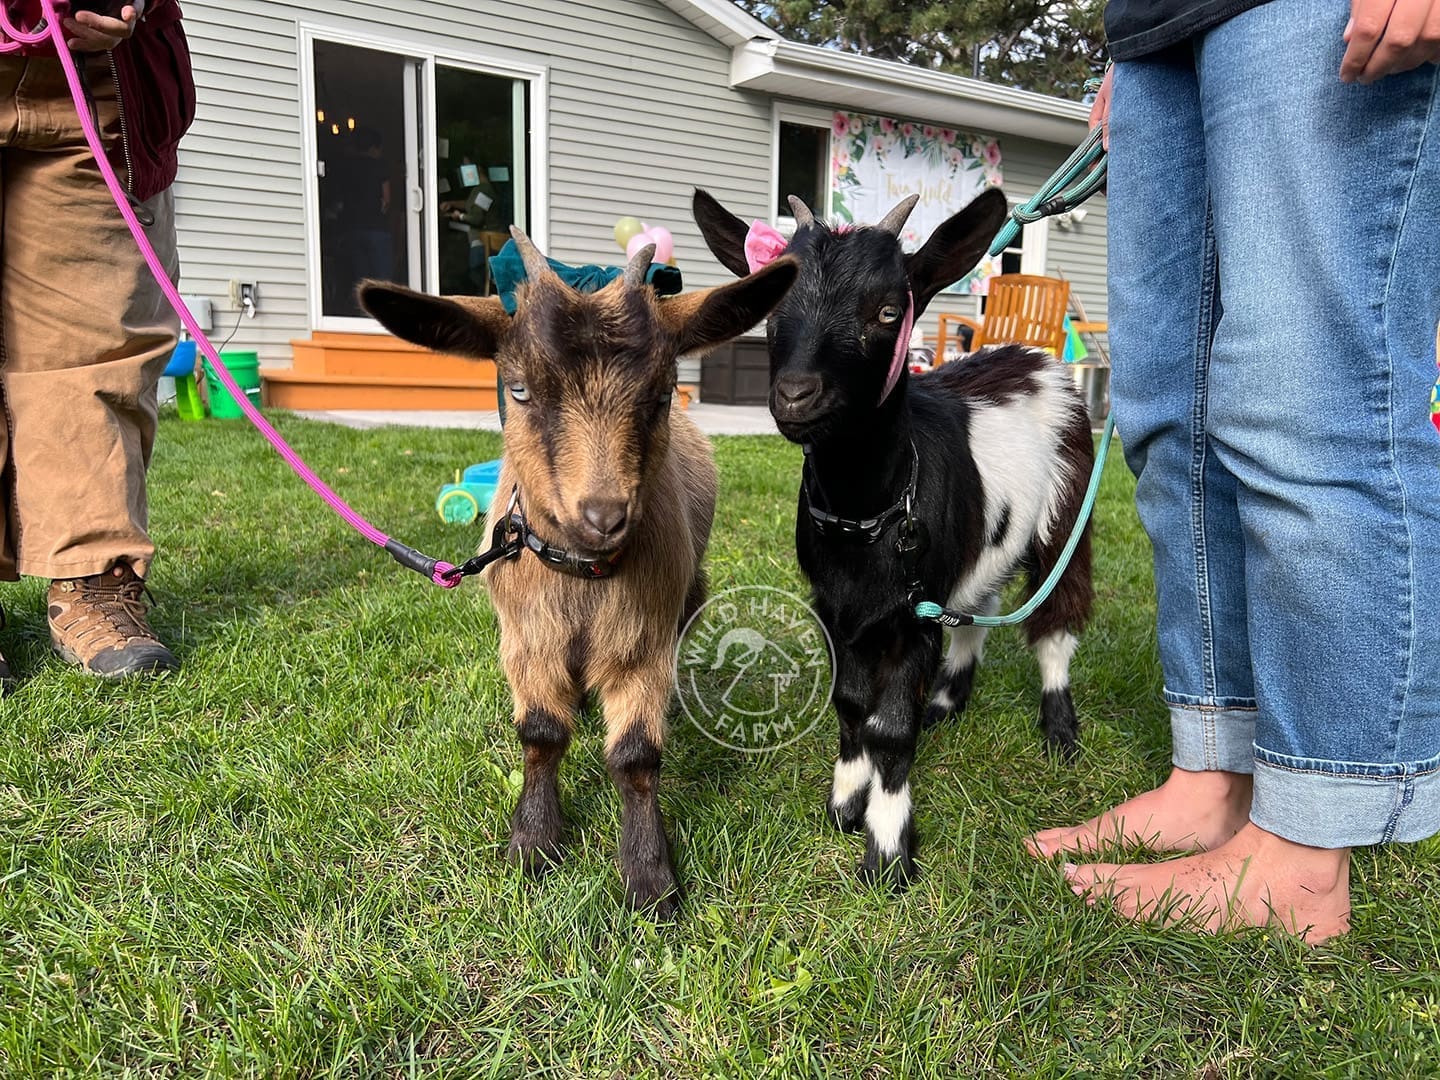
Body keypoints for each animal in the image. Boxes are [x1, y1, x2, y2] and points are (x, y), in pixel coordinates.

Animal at [360, 230, 798, 916]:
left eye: (663, 392)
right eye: (517, 390)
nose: (604, 515)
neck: (583, 573)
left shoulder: (644, 643)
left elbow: (637, 756)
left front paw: (649, 878)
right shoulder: (526, 638)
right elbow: (541, 734)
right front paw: (533, 844)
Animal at [693, 188, 1094, 887]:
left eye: (886, 311)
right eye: (771, 312)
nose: (795, 396)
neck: (866, 518)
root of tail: (1034, 356)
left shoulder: (912, 614)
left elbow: (889, 727)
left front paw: (887, 847)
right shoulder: (838, 606)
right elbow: (853, 704)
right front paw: (846, 801)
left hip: (1065, 515)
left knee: (1055, 622)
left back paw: (1057, 728)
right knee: (979, 605)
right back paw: (948, 702)